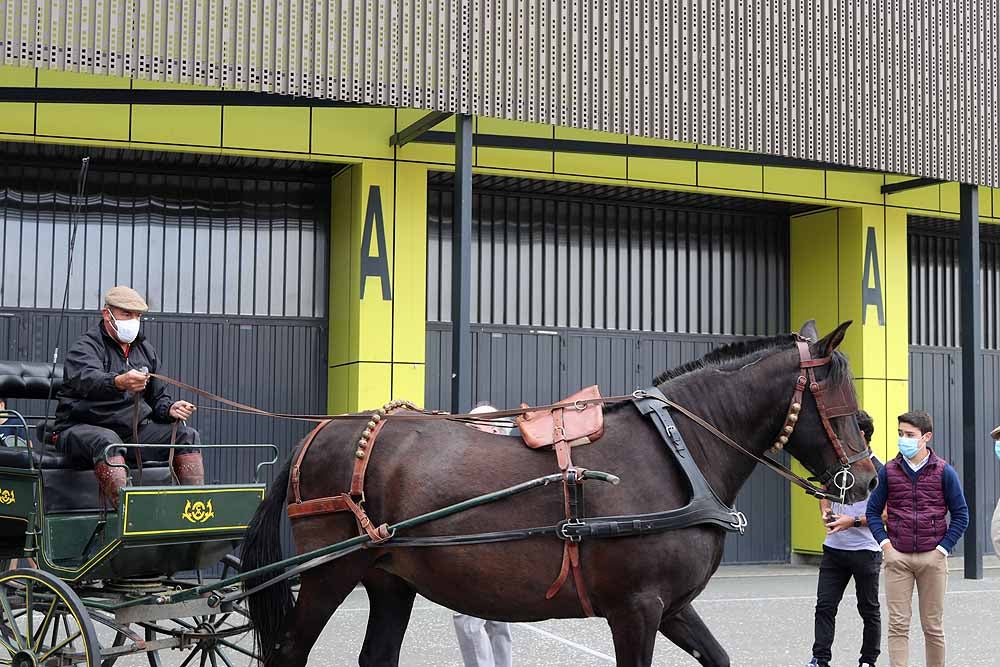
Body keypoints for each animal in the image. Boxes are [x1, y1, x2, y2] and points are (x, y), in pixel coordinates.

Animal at [240, 320, 876, 664]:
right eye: (840, 400)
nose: (868, 479)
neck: (681, 447)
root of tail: (318, 433)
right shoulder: (637, 609)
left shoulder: (671, 607)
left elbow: (718, 656)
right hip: (328, 573)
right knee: (287, 652)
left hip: (390, 579)